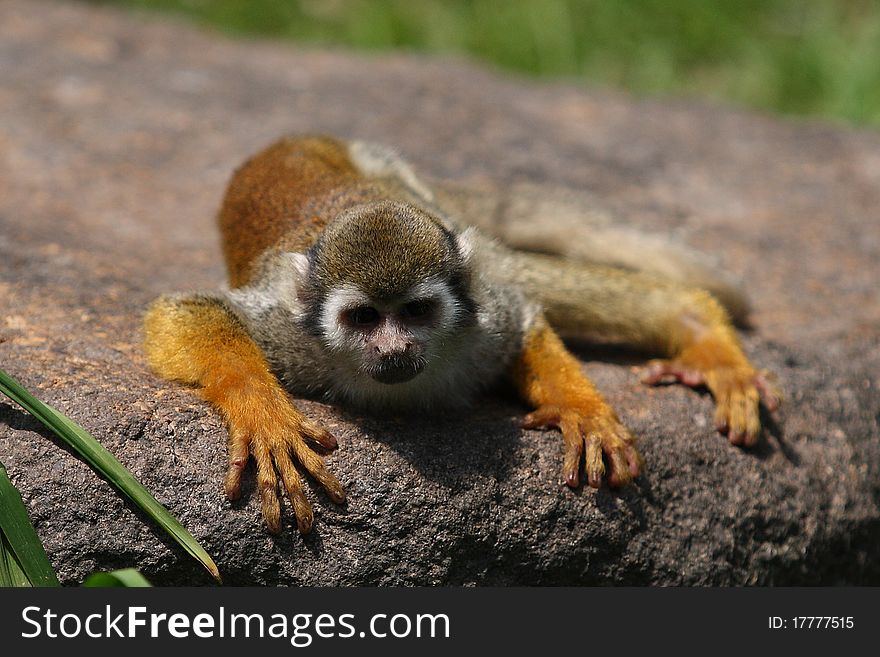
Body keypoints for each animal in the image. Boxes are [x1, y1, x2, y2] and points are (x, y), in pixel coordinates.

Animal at [141, 133, 780, 532]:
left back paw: (698, 327)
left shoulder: (482, 326)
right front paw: (264, 414)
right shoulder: (291, 331)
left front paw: (580, 408)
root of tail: (300, 140)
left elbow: (521, 318)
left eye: (417, 313)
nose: (395, 347)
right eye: (363, 320)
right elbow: (187, 309)